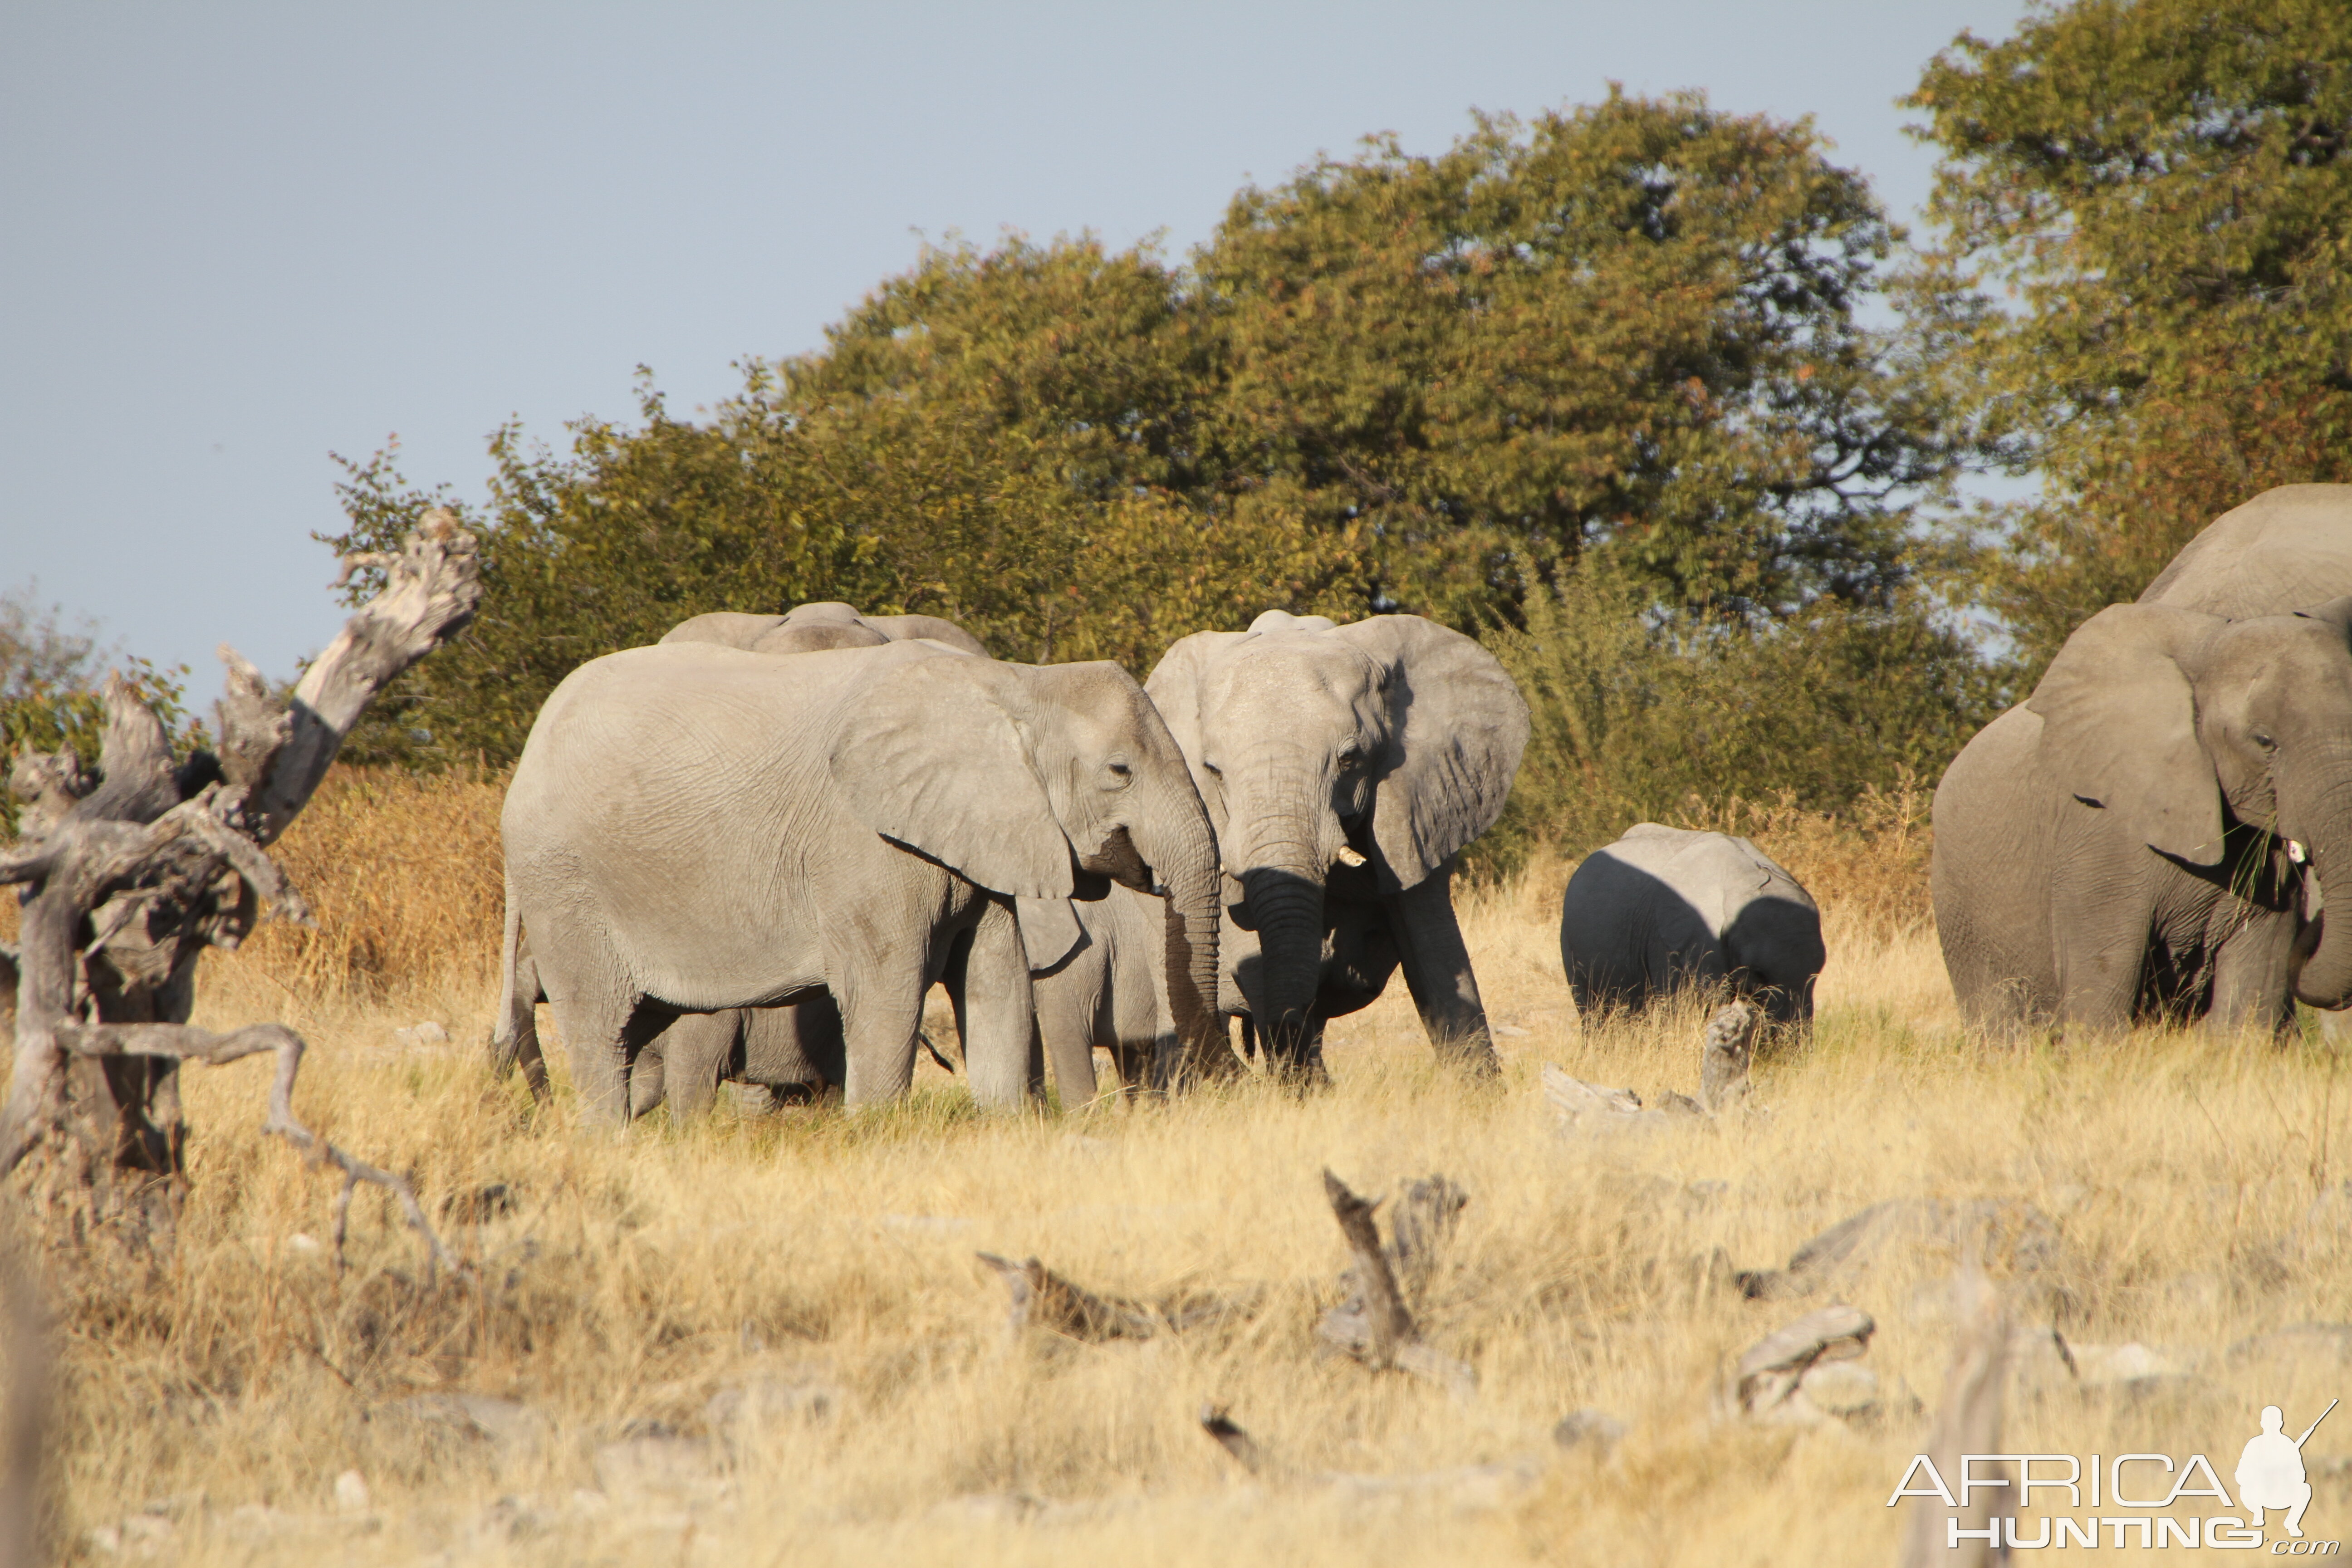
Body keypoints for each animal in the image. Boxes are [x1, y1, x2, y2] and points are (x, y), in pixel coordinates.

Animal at [489, 630, 1223, 1123]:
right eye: (1119, 772)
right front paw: (877, 1135)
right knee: (602, 1026)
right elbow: (886, 988)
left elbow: (996, 979)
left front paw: (1005, 1125)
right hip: (563, 882)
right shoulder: (864, 846)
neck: (1012, 684)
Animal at [1928, 594, 2352, 1034]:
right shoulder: (2100, 833)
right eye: (2264, 741)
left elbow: (2250, 1000)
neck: (2208, 646)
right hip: (1960, 908)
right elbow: (2103, 988)